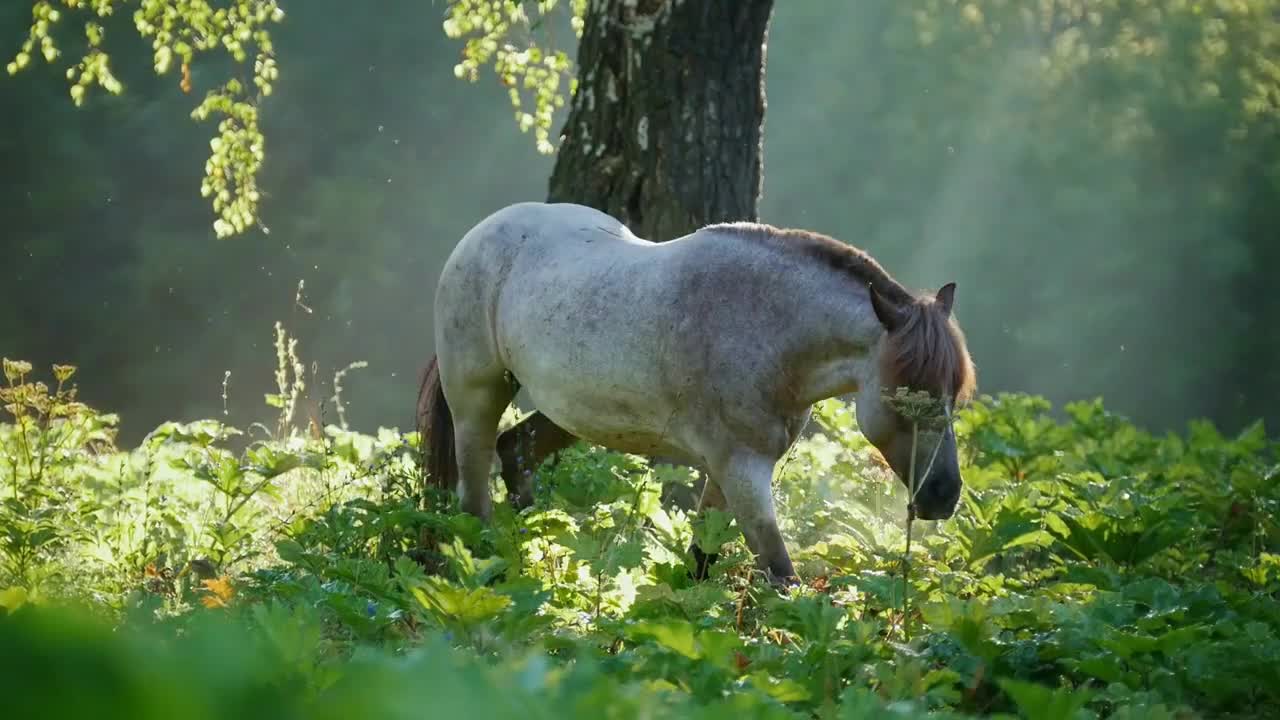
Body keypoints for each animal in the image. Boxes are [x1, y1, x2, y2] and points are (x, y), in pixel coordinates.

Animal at [414, 202, 972, 584]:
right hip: (477, 400)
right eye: (905, 399)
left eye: (954, 397)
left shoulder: (727, 472)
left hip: (564, 411)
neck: (766, 328)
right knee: (473, 501)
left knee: (516, 451)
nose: (944, 495)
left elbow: (702, 560)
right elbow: (781, 574)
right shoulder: (742, 469)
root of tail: (480, 234)